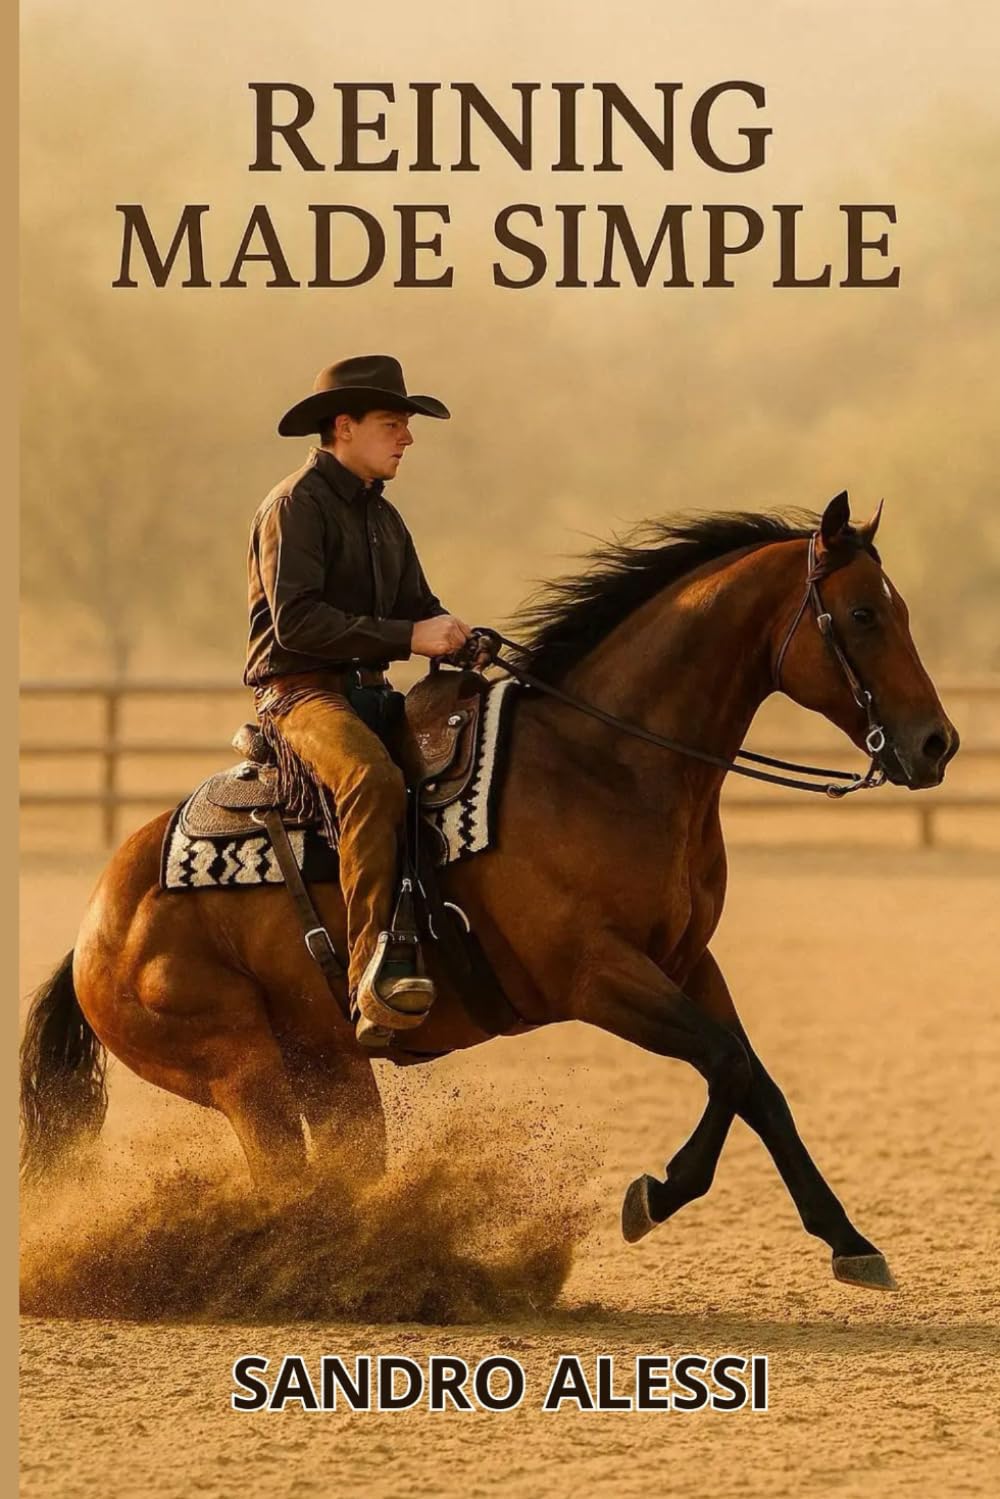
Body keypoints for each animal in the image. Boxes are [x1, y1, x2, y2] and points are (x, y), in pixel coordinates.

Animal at [20, 492, 959, 1291]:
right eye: (864, 614)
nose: (936, 743)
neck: (604, 764)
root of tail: (94, 929)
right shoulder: (598, 978)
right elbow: (727, 1064)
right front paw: (654, 1194)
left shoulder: (689, 962)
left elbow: (754, 1081)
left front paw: (848, 1238)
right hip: (240, 1066)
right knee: (284, 1178)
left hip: (328, 1064)